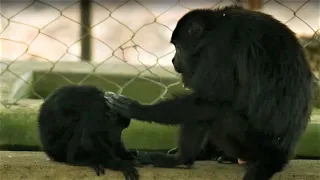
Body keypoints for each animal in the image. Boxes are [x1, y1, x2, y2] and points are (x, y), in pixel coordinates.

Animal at [105, 4, 316, 180]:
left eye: (178, 48)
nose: (173, 60)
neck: (214, 27)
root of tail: (281, 153)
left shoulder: (219, 47)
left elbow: (210, 99)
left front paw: (137, 109)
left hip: (252, 144)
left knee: (220, 113)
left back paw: (182, 159)